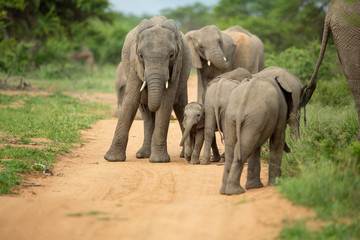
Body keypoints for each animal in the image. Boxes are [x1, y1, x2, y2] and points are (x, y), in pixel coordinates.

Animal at [104, 15, 191, 162]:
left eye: (172, 55)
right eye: (140, 55)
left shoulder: (176, 67)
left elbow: (165, 102)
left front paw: (159, 161)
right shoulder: (134, 65)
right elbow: (131, 100)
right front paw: (111, 159)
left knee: (180, 107)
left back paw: (184, 156)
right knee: (147, 114)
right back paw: (143, 155)